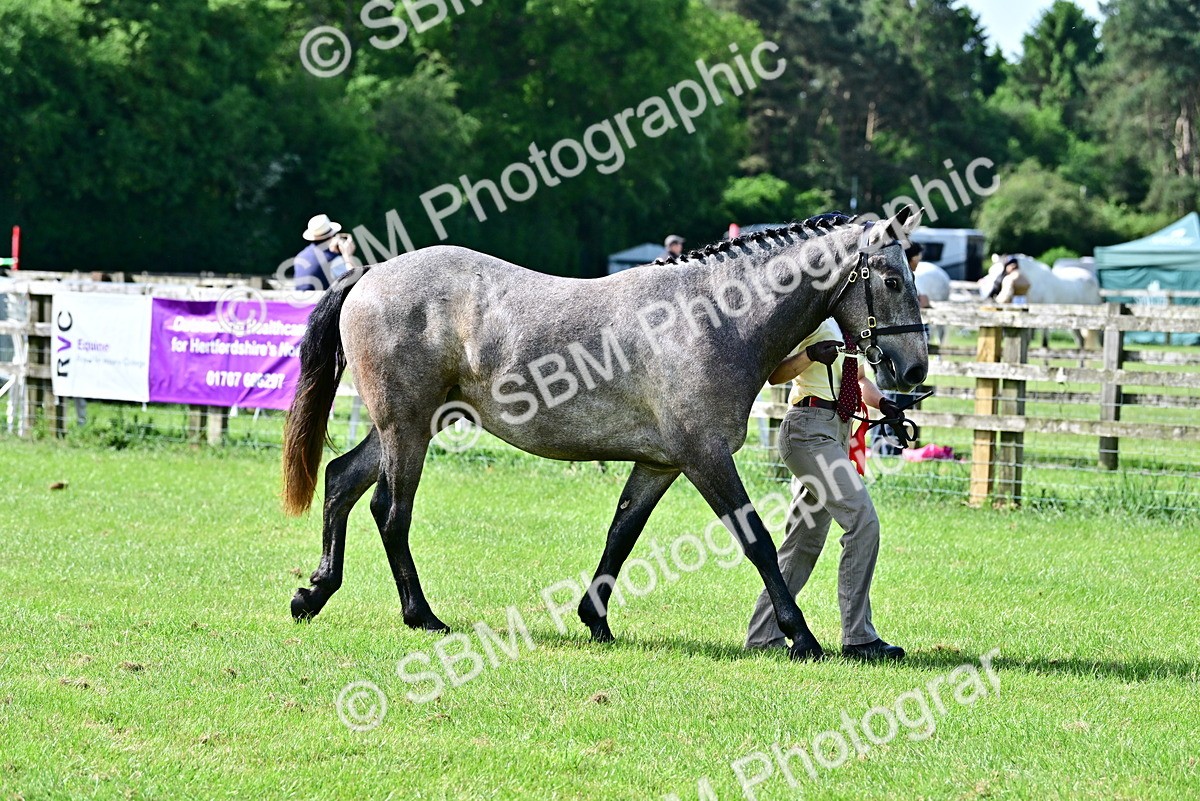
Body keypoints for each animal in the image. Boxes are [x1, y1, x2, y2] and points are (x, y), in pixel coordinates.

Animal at [280, 208, 929, 662]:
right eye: (892, 278)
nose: (914, 370)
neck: (710, 318)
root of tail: (370, 274)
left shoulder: (661, 463)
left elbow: (622, 535)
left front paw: (595, 618)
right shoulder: (706, 458)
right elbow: (759, 543)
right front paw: (802, 637)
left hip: (407, 425)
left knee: (341, 481)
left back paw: (314, 593)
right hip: (407, 428)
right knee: (391, 512)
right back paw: (421, 616)